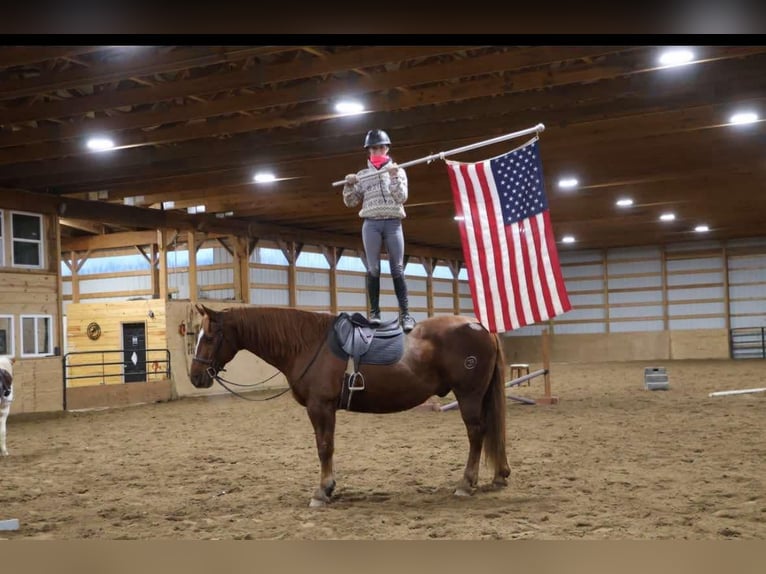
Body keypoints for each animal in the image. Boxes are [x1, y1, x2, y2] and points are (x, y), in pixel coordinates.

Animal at [188, 306, 510, 508]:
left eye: (211, 337)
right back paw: (498, 475)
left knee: (476, 433)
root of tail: (480, 326)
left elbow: (324, 447)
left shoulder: (320, 407)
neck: (308, 344)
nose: (195, 377)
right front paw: (328, 487)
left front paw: (322, 491)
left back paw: (466, 483)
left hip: (468, 395)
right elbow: (327, 447)